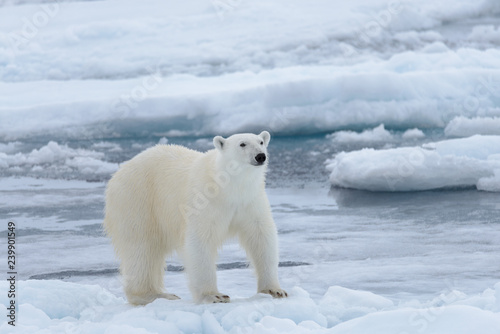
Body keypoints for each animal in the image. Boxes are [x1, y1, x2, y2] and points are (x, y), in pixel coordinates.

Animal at [103, 132, 288, 304]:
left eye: (261, 142)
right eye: (242, 144)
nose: (260, 156)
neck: (228, 186)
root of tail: (119, 172)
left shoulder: (250, 200)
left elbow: (261, 236)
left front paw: (275, 290)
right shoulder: (204, 200)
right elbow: (200, 240)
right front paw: (214, 295)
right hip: (138, 201)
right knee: (141, 248)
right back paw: (154, 295)